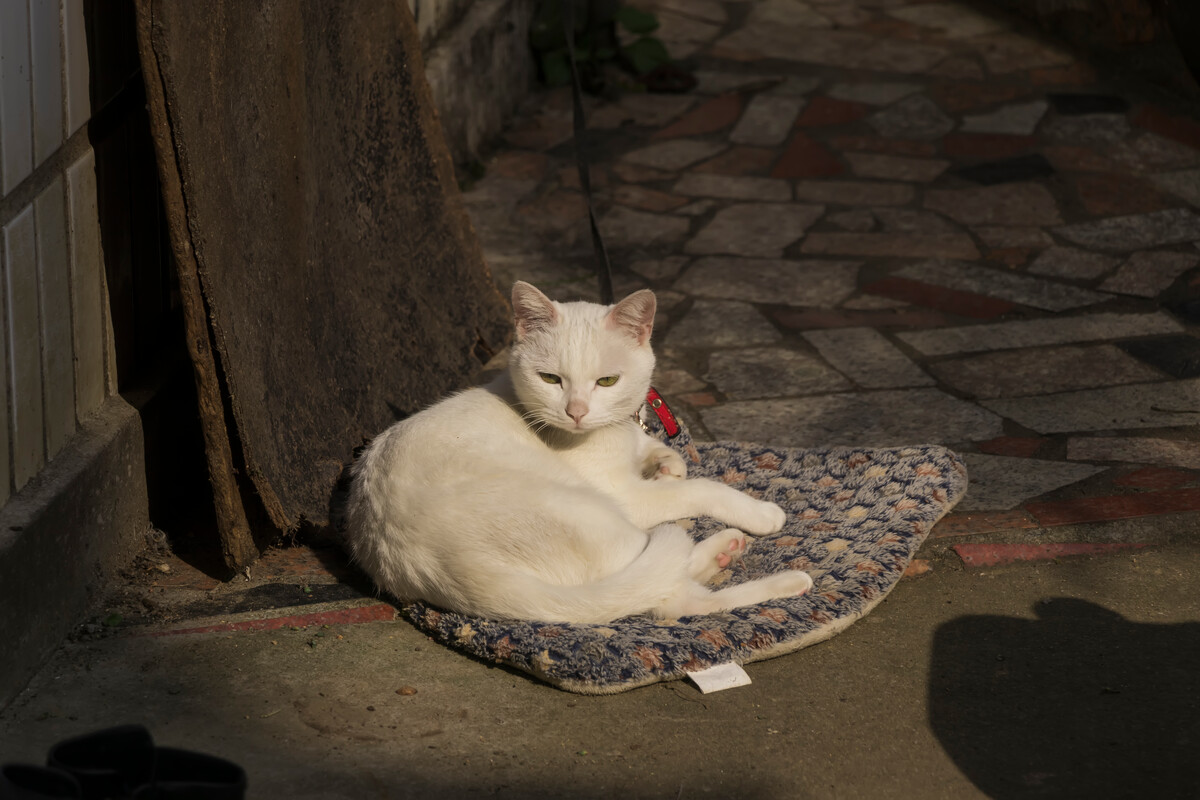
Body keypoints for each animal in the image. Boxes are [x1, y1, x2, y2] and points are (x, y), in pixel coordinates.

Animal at [348, 281, 816, 623]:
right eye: (550, 379)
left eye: (607, 381)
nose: (575, 412)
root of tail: (450, 568)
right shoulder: (627, 496)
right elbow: (703, 488)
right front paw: (758, 511)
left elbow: (662, 456)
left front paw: (667, 463)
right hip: (598, 515)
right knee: (672, 598)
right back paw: (767, 569)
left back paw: (725, 552)